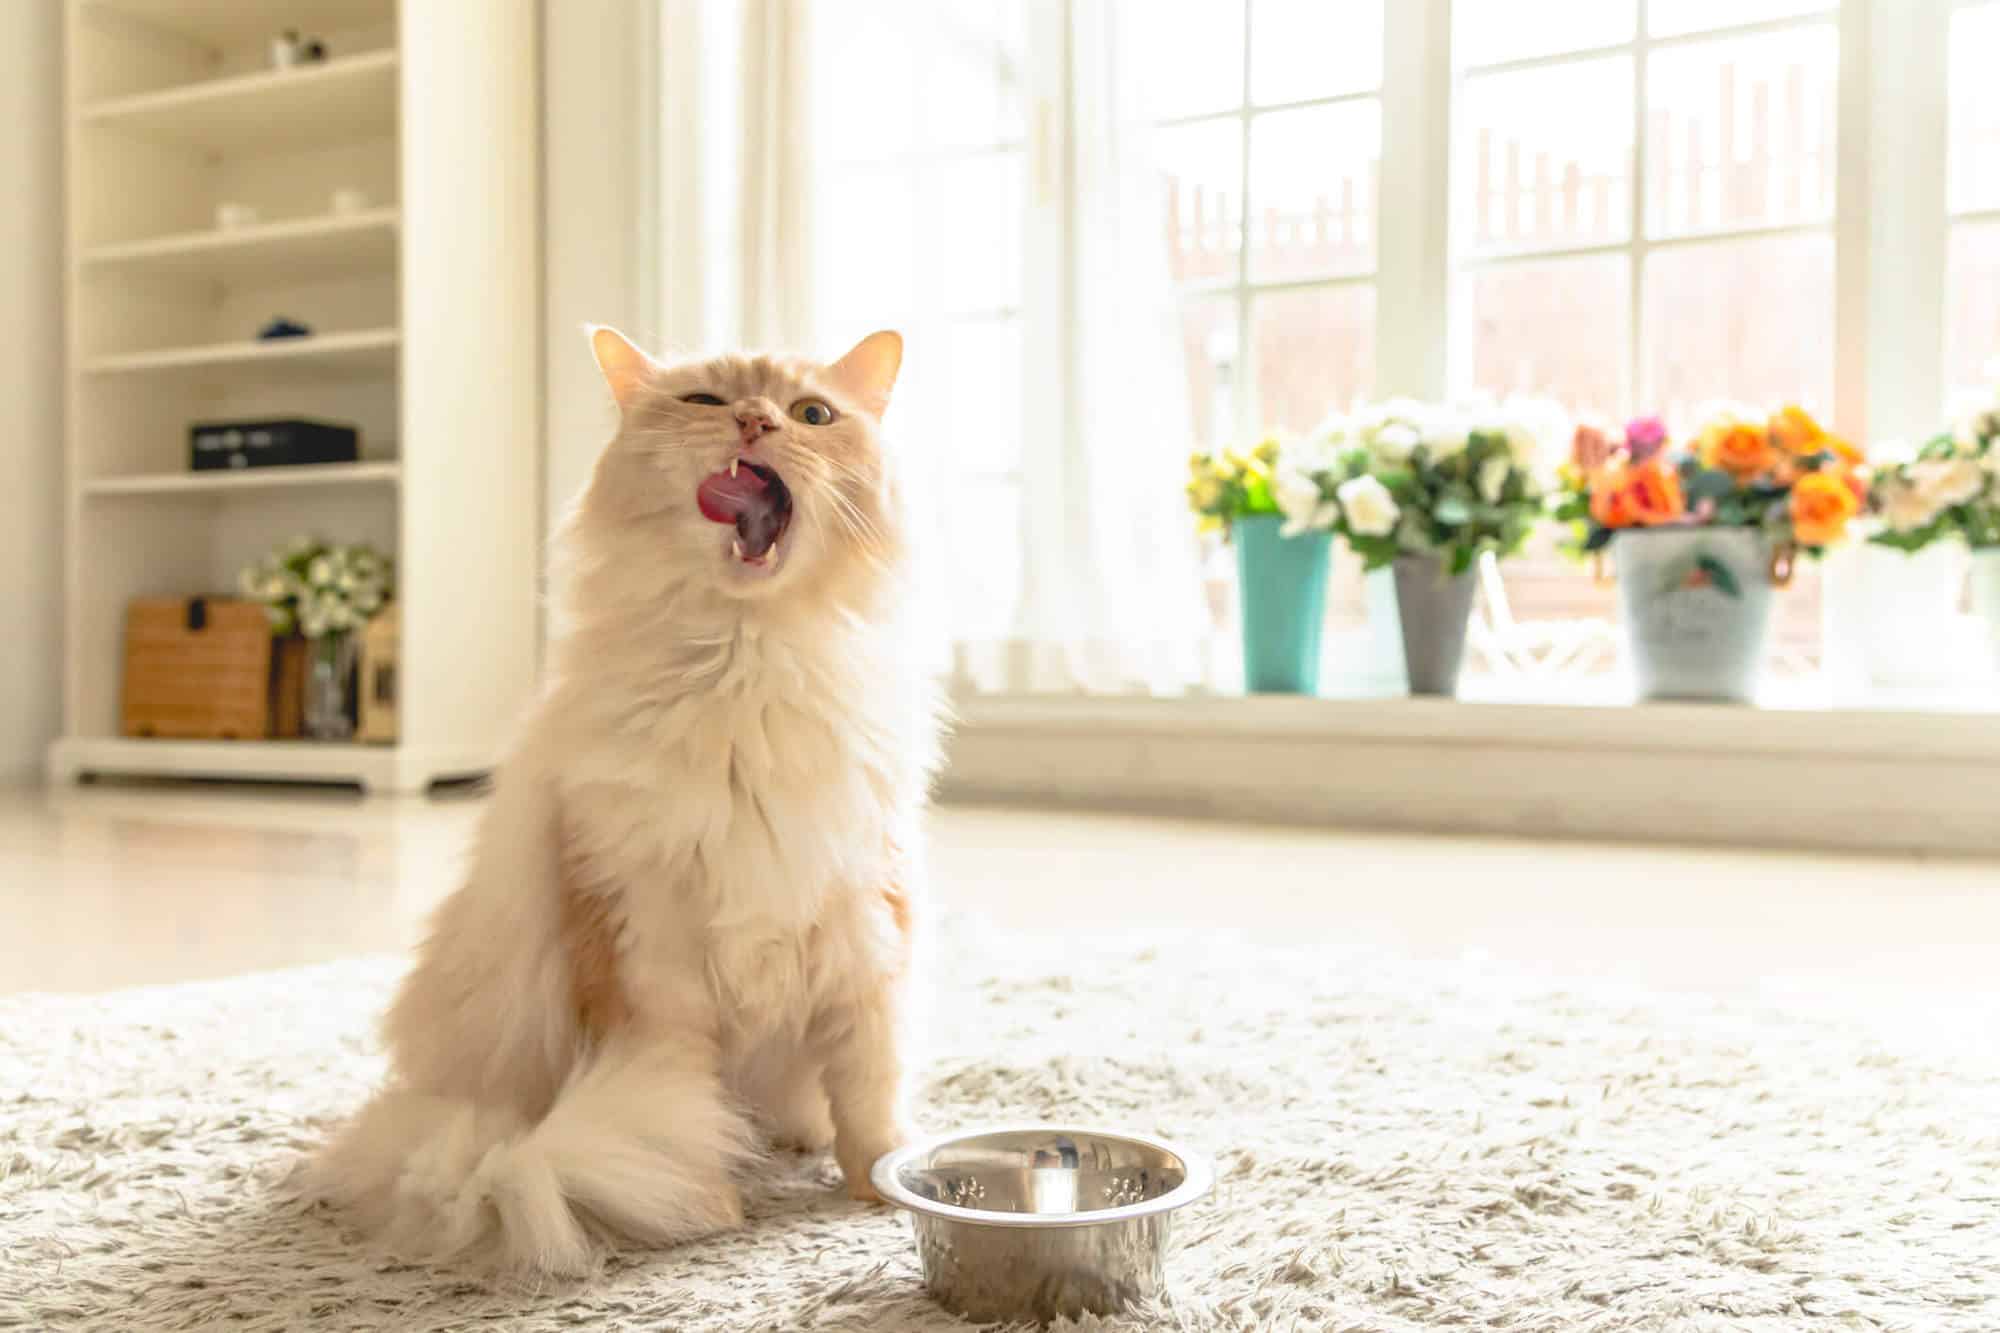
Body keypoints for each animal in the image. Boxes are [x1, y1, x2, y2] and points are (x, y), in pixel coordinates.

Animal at [312, 326, 936, 1272]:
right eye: (707, 403)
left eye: (811, 415)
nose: (754, 423)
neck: (745, 666)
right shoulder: (642, 946)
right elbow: (678, 1109)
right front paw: (705, 1204)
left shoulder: (865, 922)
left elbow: (870, 1090)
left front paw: (876, 1188)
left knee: (806, 1106)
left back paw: (796, 1139)